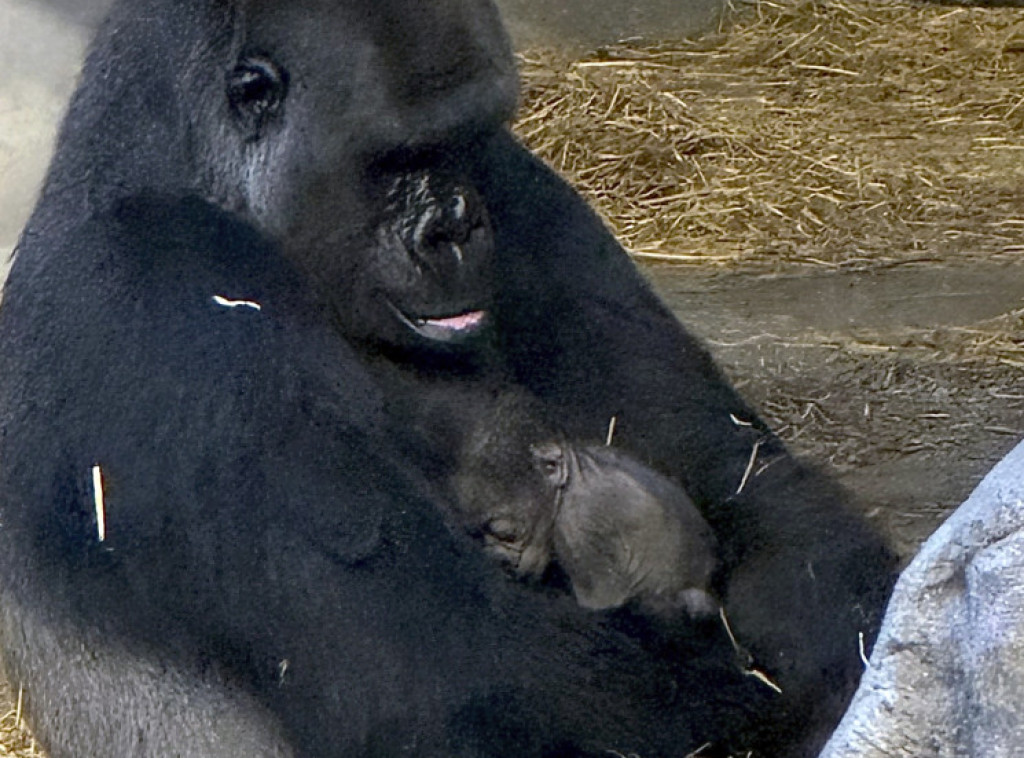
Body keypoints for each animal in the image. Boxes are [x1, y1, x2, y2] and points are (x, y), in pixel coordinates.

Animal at [0, 1, 897, 758]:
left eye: (465, 136)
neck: (167, 168)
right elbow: (452, 683)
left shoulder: (521, 186)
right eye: (396, 157)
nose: (457, 227)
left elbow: (748, 479)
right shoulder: (169, 290)